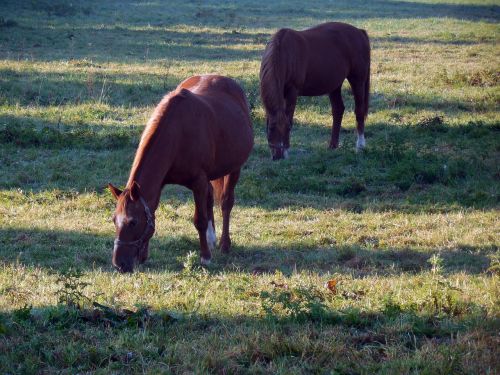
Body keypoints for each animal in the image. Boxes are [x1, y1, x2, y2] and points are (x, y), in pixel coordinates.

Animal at [107, 75, 252, 272]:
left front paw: (205, 257)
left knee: (226, 203)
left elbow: (199, 220)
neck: (178, 134)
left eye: (133, 222)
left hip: (234, 169)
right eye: (114, 219)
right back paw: (211, 238)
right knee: (210, 197)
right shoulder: (162, 184)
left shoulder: (198, 182)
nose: (119, 264)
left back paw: (224, 244)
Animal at [260, 22, 370, 160]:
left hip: (357, 80)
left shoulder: (292, 91)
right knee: (338, 110)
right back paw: (332, 146)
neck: (285, 52)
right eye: (270, 129)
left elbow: (289, 117)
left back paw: (360, 146)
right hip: (335, 85)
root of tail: (360, 32)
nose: (278, 157)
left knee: (359, 110)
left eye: (287, 129)